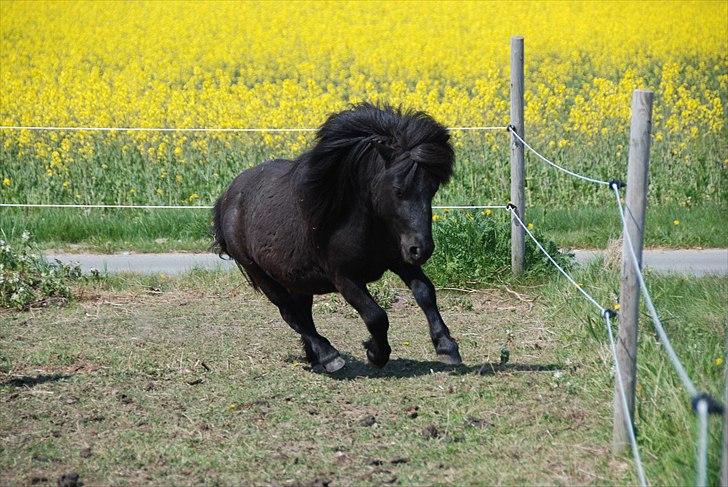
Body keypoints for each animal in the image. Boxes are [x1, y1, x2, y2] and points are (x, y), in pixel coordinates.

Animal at [212, 104, 460, 374]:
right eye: (398, 190)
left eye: (432, 189)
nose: (421, 249)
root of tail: (227, 198)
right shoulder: (344, 278)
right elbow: (376, 316)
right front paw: (375, 354)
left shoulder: (400, 261)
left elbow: (425, 293)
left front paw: (447, 346)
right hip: (262, 276)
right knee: (291, 315)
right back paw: (329, 355)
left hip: (296, 280)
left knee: (302, 314)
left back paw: (314, 356)